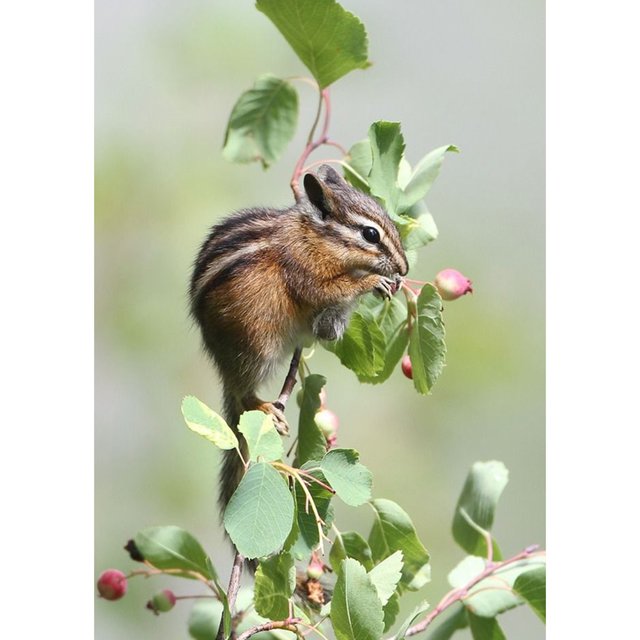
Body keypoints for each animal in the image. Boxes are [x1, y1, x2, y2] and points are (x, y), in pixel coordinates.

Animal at [189, 164, 408, 515]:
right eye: (371, 234)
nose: (405, 267)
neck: (315, 237)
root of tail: (221, 362)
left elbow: (328, 329)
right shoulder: (306, 271)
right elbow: (330, 289)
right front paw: (373, 280)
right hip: (256, 348)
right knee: (242, 394)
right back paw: (267, 408)